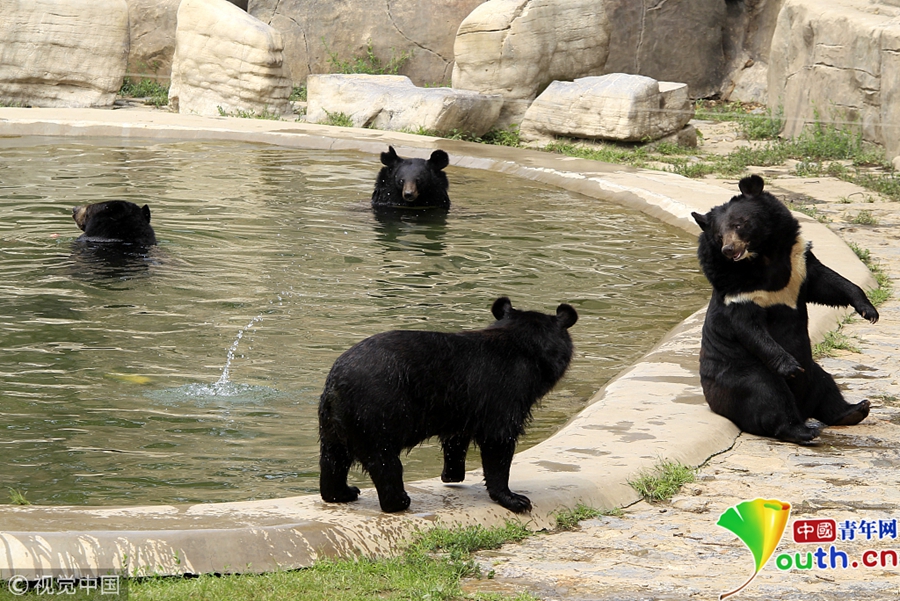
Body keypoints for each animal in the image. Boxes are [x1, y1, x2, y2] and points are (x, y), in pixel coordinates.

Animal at [316, 296, 576, 510]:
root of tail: (336, 383)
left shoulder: (461, 404)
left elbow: (456, 438)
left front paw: (452, 475)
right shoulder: (504, 392)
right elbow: (499, 440)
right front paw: (514, 499)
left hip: (334, 422)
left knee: (333, 458)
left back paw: (342, 493)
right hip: (378, 414)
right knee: (384, 462)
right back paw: (399, 502)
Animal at [688, 173, 880, 440]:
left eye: (740, 224)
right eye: (718, 236)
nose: (729, 249)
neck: (762, 258)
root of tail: (803, 407)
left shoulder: (798, 263)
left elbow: (829, 283)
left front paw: (869, 311)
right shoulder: (739, 293)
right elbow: (749, 328)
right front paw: (790, 366)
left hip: (814, 371)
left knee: (826, 387)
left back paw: (855, 409)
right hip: (742, 375)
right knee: (769, 397)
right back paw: (803, 430)